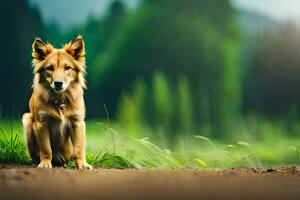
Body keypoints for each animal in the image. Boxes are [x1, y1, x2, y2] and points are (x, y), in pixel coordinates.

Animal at [22, 35, 91, 169]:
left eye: (67, 67)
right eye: (50, 68)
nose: (58, 83)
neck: (60, 101)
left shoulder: (78, 123)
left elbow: (79, 148)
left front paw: (82, 164)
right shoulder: (41, 124)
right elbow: (46, 149)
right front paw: (45, 163)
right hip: (27, 120)